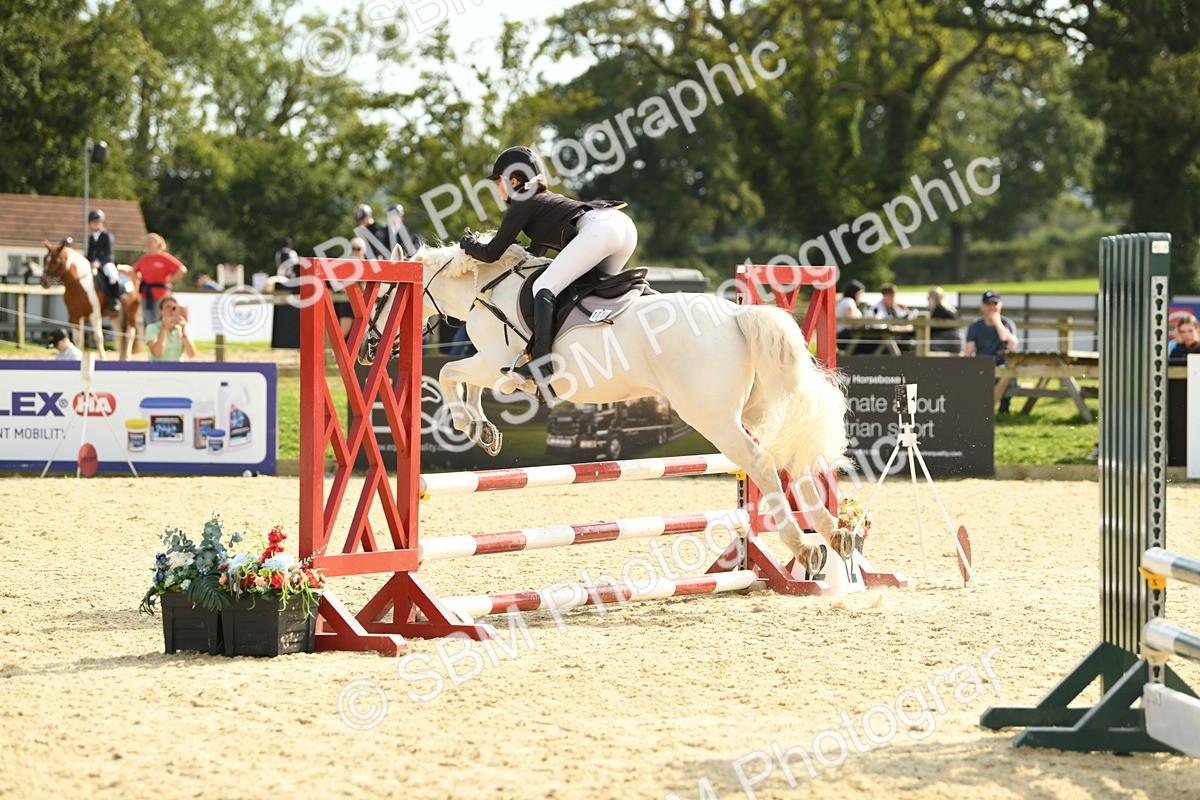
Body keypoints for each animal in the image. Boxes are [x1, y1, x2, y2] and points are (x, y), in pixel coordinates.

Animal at [366, 240, 853, 569]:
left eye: (381, 293)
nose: (371, 347)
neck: (484, 288)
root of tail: (737, 314)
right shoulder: (490, 364)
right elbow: (466, 385)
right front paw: (483, 429)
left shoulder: (493, 360)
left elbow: (452, 375)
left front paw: (468, 423)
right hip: (755, 409)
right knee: (792, 458)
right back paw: (835, 533)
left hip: (713, 419)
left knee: (762, 463)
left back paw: (804, 546)